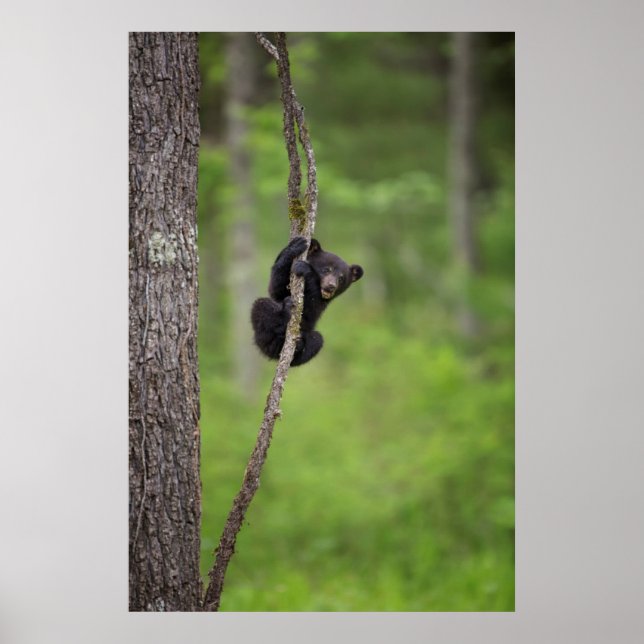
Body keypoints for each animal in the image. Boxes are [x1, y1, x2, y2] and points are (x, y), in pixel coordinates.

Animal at [251, 236, 364, 366]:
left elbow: (310, 310)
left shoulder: (321, 304)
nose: (331, 286)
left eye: (341, 278)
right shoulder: (282, 288)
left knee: (317, 340)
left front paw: (305, 269)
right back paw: (285, 313)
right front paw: (295, 246)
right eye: (326, 270)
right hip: (262, 337)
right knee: (262, 305)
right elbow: (276, 288)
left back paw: (298, 345)